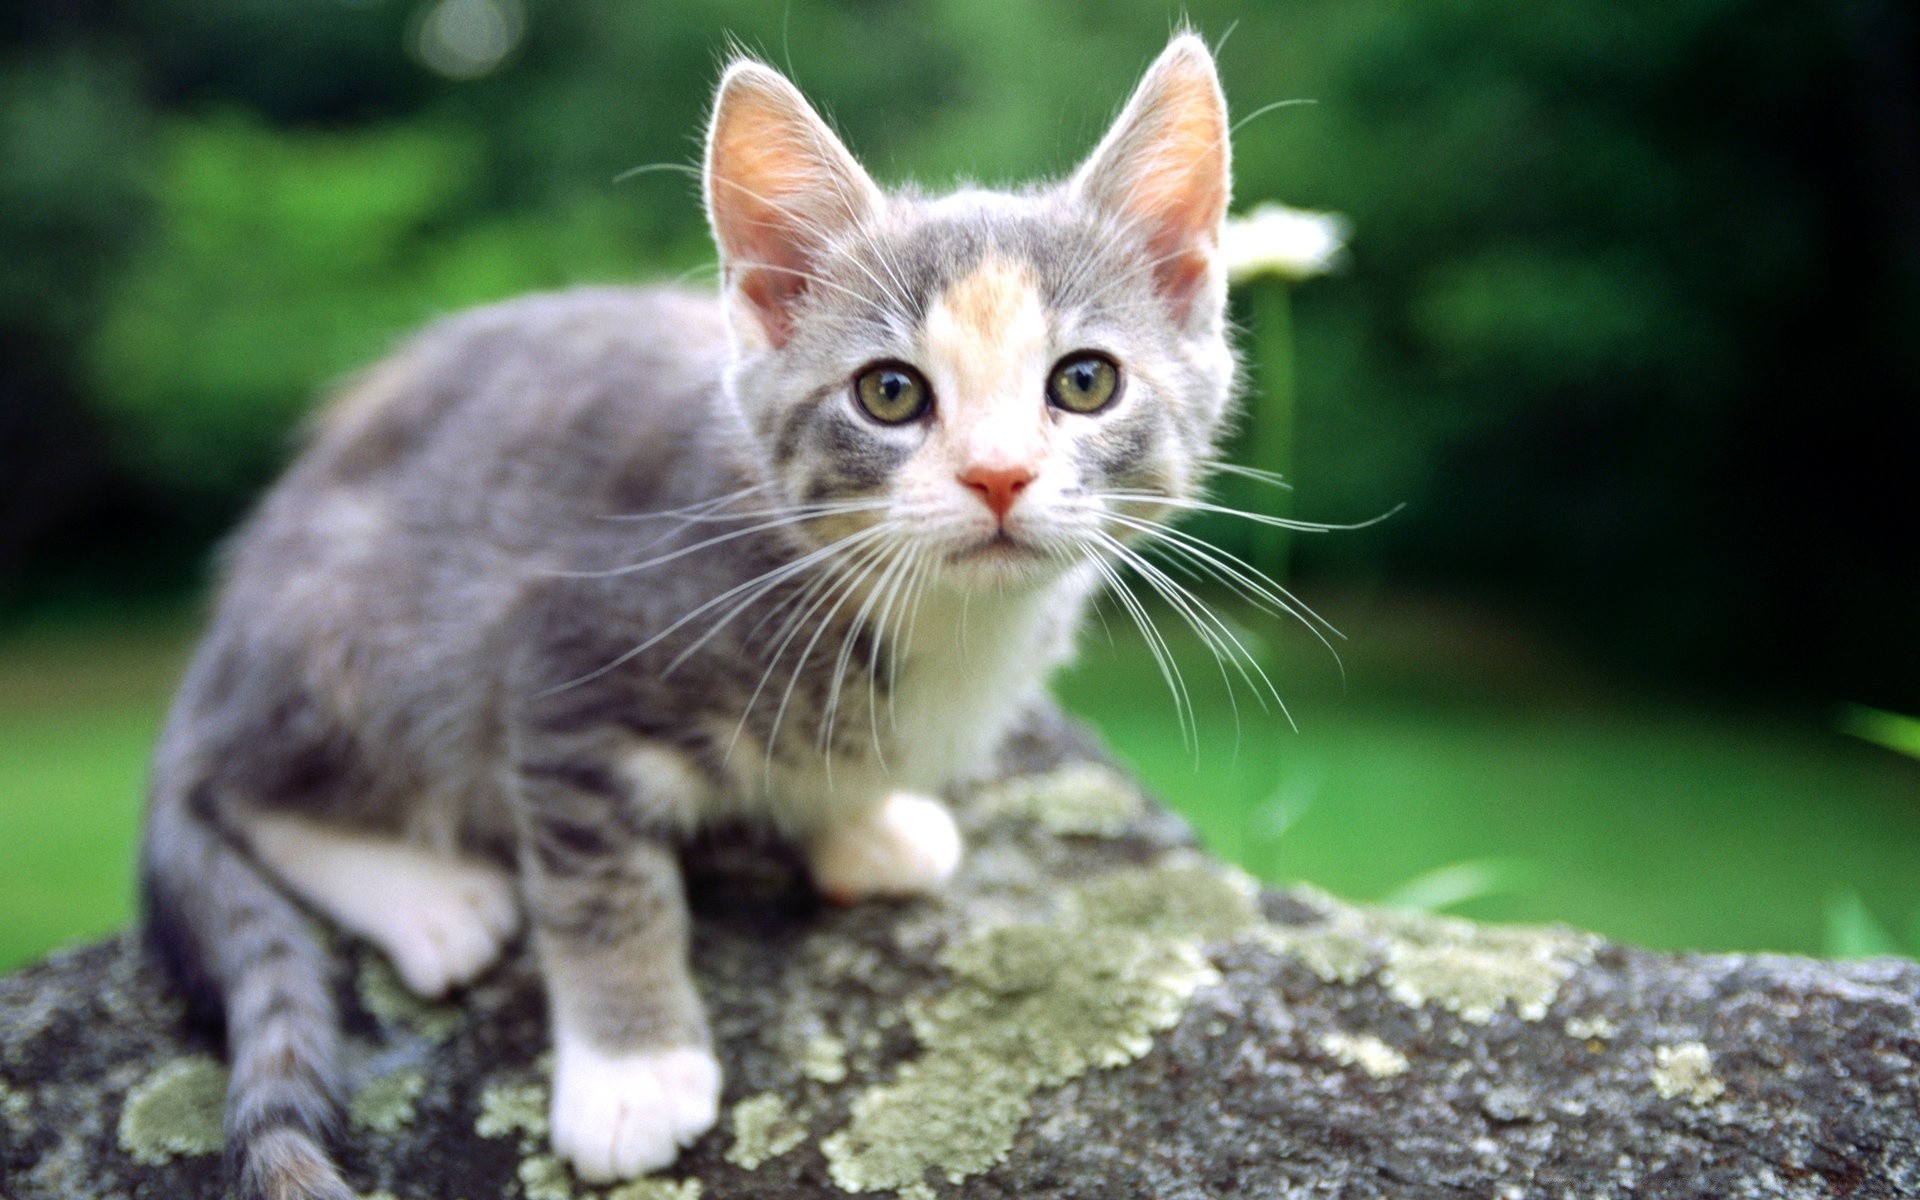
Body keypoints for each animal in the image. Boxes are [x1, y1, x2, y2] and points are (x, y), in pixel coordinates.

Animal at [142, 32, 1236, 1190]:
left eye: (1085, 381)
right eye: (889, 393)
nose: (997, 475)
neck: (937, 622)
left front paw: (859, 820)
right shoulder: (564, 654)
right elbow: (603, 884)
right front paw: (632, 1073)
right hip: (363, 627)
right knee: (244, 788)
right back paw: (432, 900)